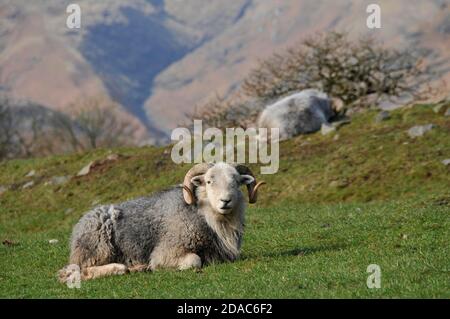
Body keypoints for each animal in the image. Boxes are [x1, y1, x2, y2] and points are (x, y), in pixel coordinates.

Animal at [58, 162, 266, 282]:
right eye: (208, 181)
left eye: (236, 181)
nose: (225, 201)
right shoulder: (166, 251)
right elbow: (194, 260)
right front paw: (158, 267)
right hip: (97, 248)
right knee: (78, 272)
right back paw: (124, 268)